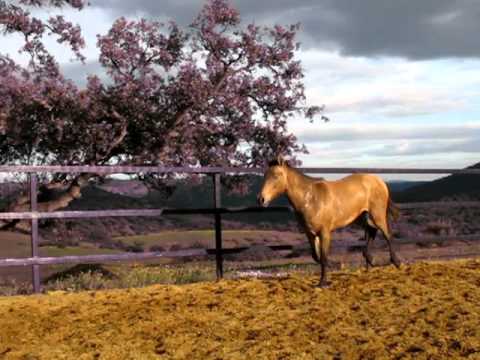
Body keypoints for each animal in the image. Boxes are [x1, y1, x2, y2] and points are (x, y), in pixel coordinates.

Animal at [258, 158, 402, 286]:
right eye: (265, 175)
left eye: (276, 176)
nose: (261, 199)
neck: (310, 199)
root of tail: (380, 181)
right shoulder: (310, 234)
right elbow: (316, 256)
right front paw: (330, 271)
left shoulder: (325, 232)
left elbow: (323, 257)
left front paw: (323, 282)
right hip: (363, 217)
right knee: (372, 232)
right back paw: (371, 260)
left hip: (378, 215)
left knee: (388, 235)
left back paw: (396, 262)